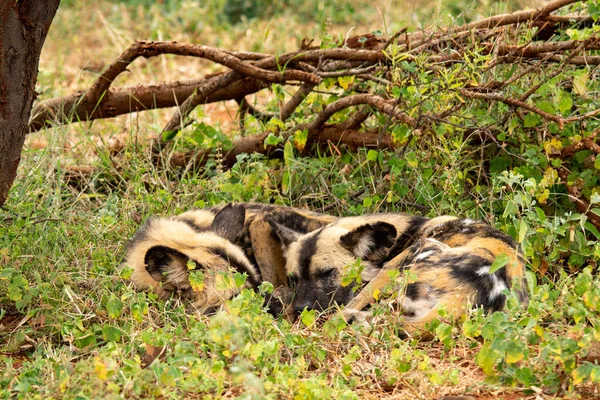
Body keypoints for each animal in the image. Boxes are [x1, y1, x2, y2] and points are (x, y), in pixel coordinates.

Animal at [270, 214, 528, 336]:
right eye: (293, 279)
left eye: (327, 273)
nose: (301, 309)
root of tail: (472, 291)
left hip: (411, 256)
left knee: (346, 313)